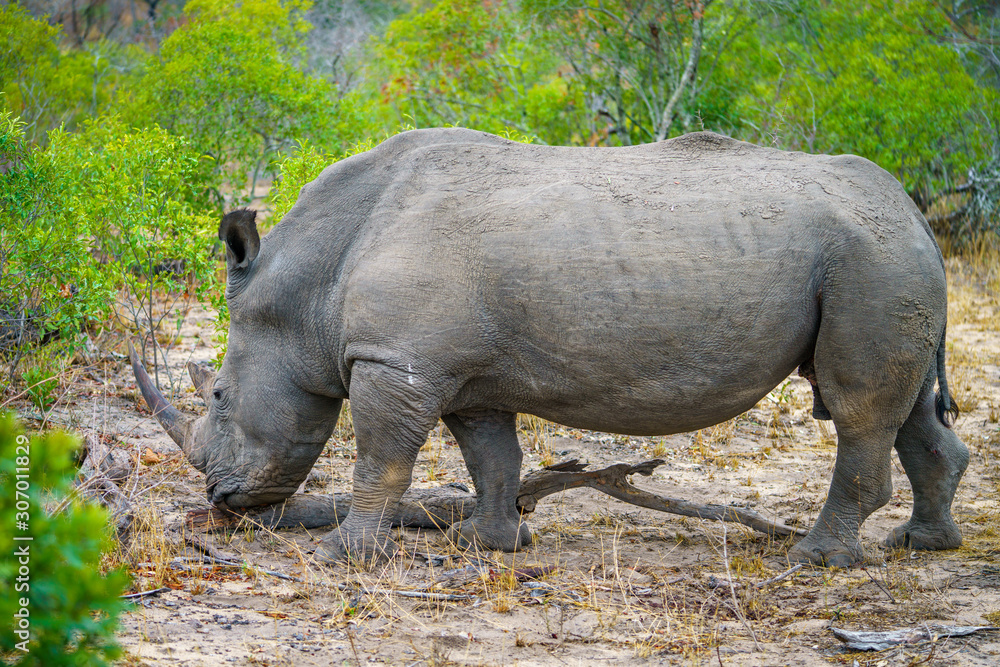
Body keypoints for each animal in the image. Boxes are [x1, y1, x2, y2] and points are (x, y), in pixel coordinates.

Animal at [132, 128, 969, 567]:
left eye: (217, 395)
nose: (222, 500)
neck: (305, 284)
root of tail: (914, 212)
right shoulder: (462, 373)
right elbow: (492, 458)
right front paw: (492, 541)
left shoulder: (395, 361)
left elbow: (381, 462)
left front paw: (344, 553)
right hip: (881, 259)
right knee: (905, 411)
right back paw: (922, 543)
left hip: (870, 260)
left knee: (857, 409)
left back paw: (816, 559)